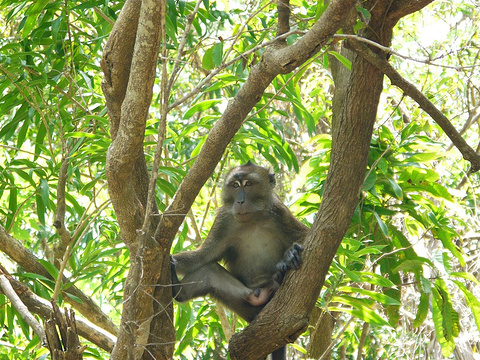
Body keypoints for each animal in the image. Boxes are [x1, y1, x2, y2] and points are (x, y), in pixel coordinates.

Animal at [171, 162, 310, 358]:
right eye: (235, 186)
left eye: (248, 184)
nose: (240, 201)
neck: (253, 220)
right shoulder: (223, 220)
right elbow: (202, 257)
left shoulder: (279, 212)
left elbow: (309, 239)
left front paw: (290, 255)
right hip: (246, 306)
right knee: (209, 271)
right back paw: (177, 290)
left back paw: (280, 276)